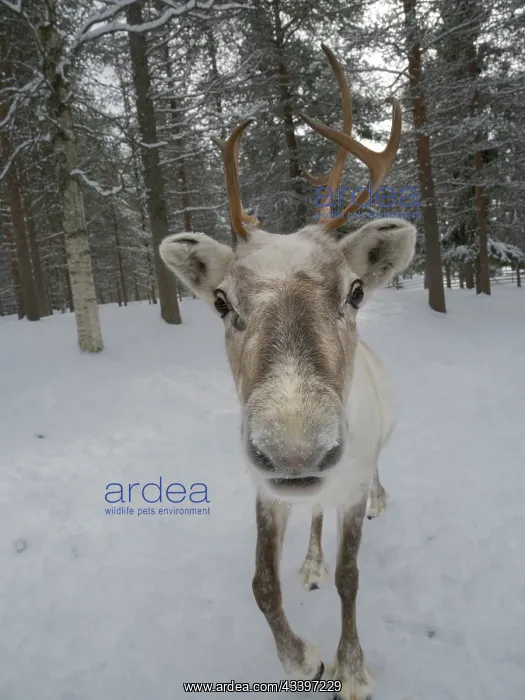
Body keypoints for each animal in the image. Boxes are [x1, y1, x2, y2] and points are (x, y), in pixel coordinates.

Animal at [159, 45, 416, 700]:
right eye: (221, 301)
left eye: (354, 291)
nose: (296, 452)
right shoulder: (265, 490)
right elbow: (260, 583)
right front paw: (303, 660)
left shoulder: (349, 479)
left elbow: (352, 577)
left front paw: (352, 669)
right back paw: (310, 562)